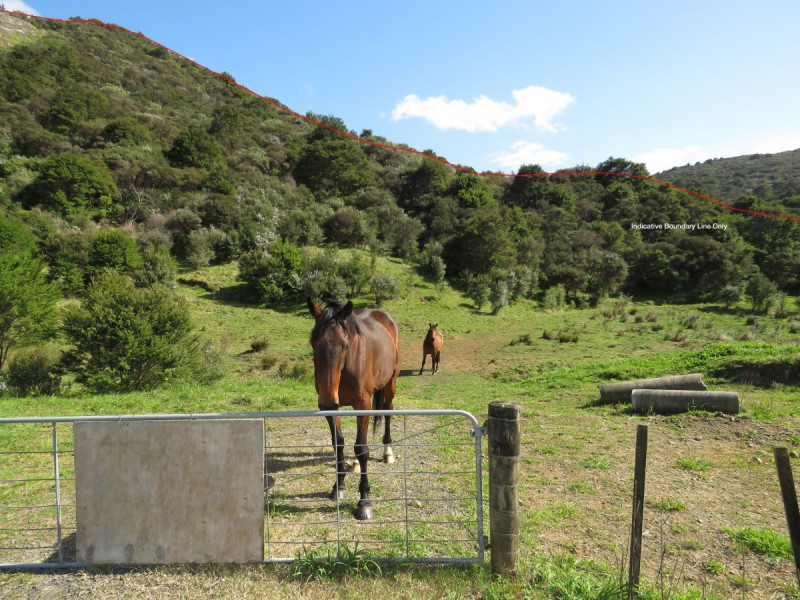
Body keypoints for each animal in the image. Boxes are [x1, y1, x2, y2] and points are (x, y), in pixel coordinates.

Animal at [310, 298, 404, 520]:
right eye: (314, 344)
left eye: (345, 345)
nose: (327, 401)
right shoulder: (332, 408)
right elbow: (338, 444)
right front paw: (339, 487)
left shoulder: (363, 405)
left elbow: (362, 449)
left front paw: (364, 502)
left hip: (391, 383)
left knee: (388, 409)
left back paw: (388, 451)